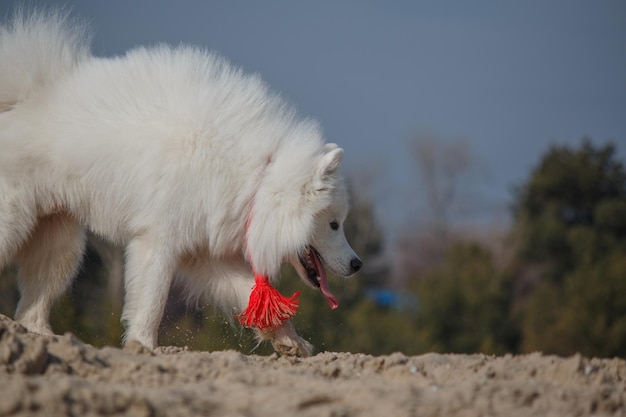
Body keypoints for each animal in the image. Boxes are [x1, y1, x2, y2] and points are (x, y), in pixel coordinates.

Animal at [0, 10, 360, 354]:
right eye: (334, 224)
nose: (357, 264)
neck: (258, 177)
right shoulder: (159, 240)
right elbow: (153, 301)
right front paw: (143, 346)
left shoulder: (203, 252)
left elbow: (248, 292)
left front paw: (291, 342)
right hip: (15, 223)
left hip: (60, 244)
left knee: (32, 306)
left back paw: (45, 337)